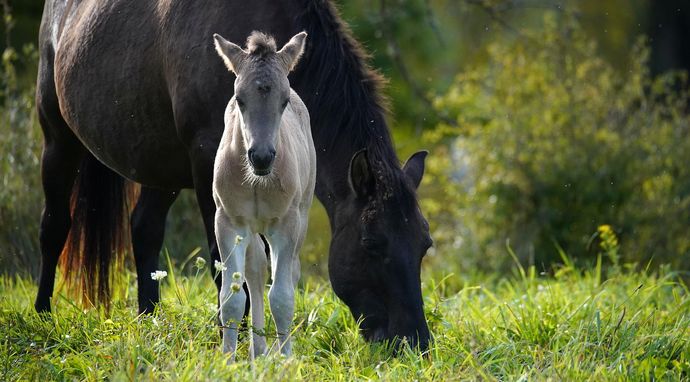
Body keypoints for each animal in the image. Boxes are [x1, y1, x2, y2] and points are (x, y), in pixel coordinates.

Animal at [35, 0, 430, 350]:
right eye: (371, 243)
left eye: (424, 244)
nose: (415, 342)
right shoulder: (208, 167)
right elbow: (224, 266)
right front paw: (234, 339)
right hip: (58, 139)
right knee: (54, 226)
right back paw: (42, 316)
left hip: (160, 166)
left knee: (145, 230)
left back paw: (149, 318)